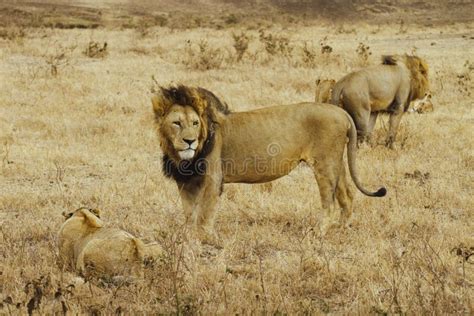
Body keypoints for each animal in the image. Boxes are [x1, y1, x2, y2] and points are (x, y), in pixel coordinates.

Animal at [150, 84, 386, 244]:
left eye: (195, 123)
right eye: (176, 123)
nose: (189, 141)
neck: (184, 158)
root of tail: (341, 112)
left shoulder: (212, 179)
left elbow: (204, 213)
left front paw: (207, 239)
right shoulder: (186, 181)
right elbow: (189, 213)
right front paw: (187, 237)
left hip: (325, 163)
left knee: (329, 201)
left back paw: (319, 232)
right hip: (337, 161)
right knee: (347, 194)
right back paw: (342, 227)